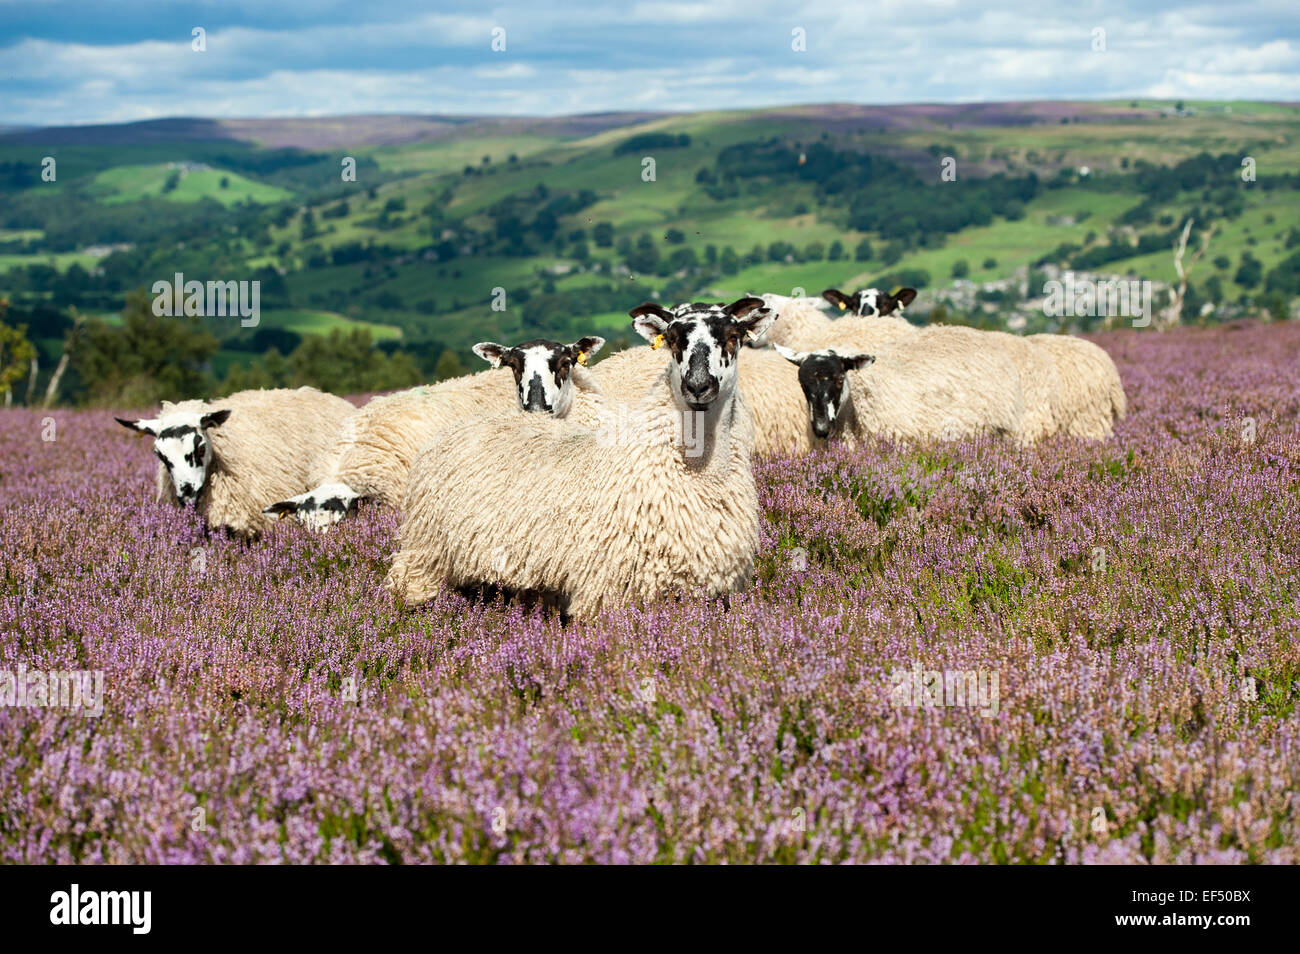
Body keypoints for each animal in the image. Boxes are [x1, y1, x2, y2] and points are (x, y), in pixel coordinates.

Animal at [384, 300, 769, 629]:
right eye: (673, 339)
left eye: (733, 337)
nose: (698, 385)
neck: (699, 471)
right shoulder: (606, 590)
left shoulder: (712, 590)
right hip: (425, 554)